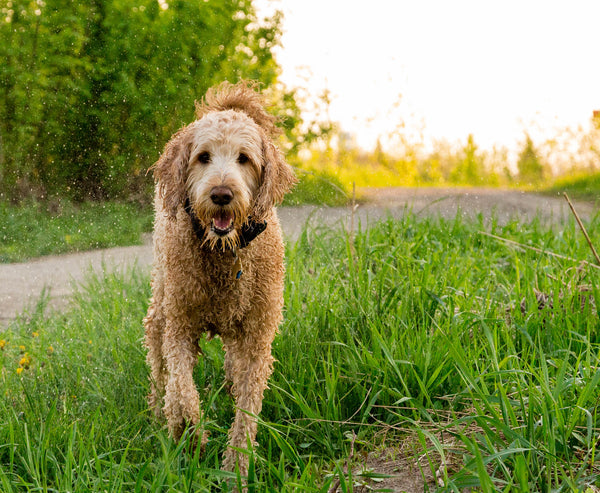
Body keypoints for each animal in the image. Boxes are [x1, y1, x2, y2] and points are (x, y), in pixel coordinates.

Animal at [144, 80, 298, 472]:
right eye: (203, 157)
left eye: (244, 158)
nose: (221, 194)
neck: (223, 253)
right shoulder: (179, 326)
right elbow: (181, 387)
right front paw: (189, 431)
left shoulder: (258, 337)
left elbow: (247, 408)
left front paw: (236, 467)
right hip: (162, 300)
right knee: (159, 361)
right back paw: (158, 415)